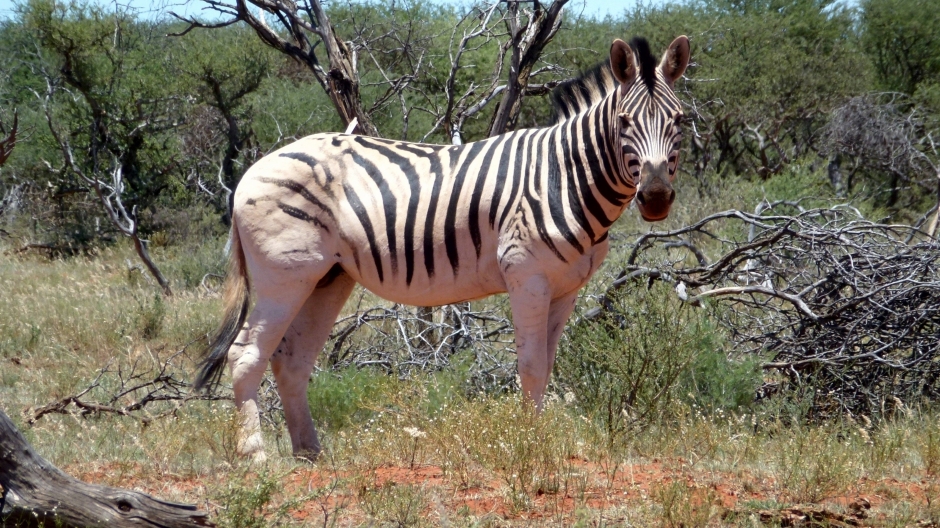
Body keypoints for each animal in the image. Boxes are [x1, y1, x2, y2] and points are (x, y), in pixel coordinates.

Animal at [195, 35, 692, 460]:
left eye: (679, 121)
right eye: (624, 122)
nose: (655, 197)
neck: (563, 175)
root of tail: (253, 171)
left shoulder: (567, 287)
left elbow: (547, 366)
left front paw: (540, 436)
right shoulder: (526, 275)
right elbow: (531, 366)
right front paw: (530, 445)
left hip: (327, 277)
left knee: (292, 359)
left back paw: (309, 453)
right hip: (283, 277)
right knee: (245, 354)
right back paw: (256, 455)